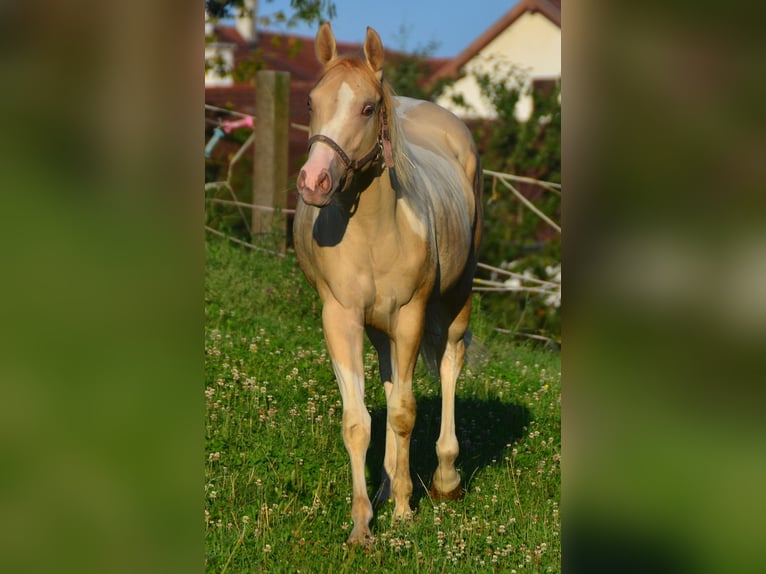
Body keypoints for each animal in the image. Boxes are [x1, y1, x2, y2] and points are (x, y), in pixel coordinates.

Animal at [296, 21, 486, 544]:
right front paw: (363, 523)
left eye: (366, 107)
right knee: (386, 382)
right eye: (311, 103)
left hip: (455, 301)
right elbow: (358, 421)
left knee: (448, 365)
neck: (375, 229)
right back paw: (384, 486)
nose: (314, 182)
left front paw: (404, 509)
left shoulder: (410, 316)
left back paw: (443, 478)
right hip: (379, 329)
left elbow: (404, 412)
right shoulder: (341, 318)